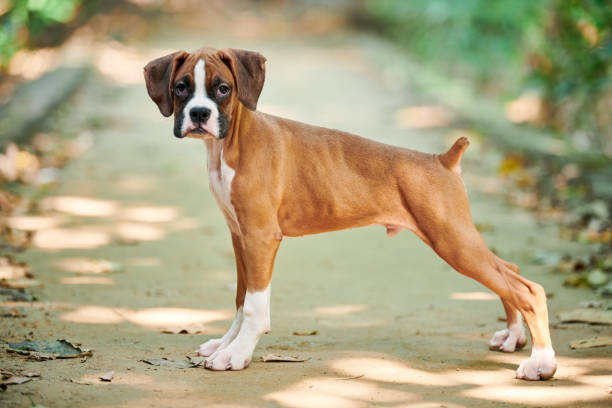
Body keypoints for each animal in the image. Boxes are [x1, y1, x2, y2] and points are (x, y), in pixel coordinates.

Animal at [146, 45, 556, 380]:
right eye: (181, 87)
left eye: (223, 89)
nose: (199, 113)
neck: (232, 143)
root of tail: (443, 159)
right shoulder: (240, 236)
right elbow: (240, 298)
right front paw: (226, 344)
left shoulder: (261, 238)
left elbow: (253, 307)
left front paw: (238, 354)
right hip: (460, 240)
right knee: (510, 272)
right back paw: (514, 337)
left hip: (453, 241)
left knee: (529, 289)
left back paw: (542, 363)